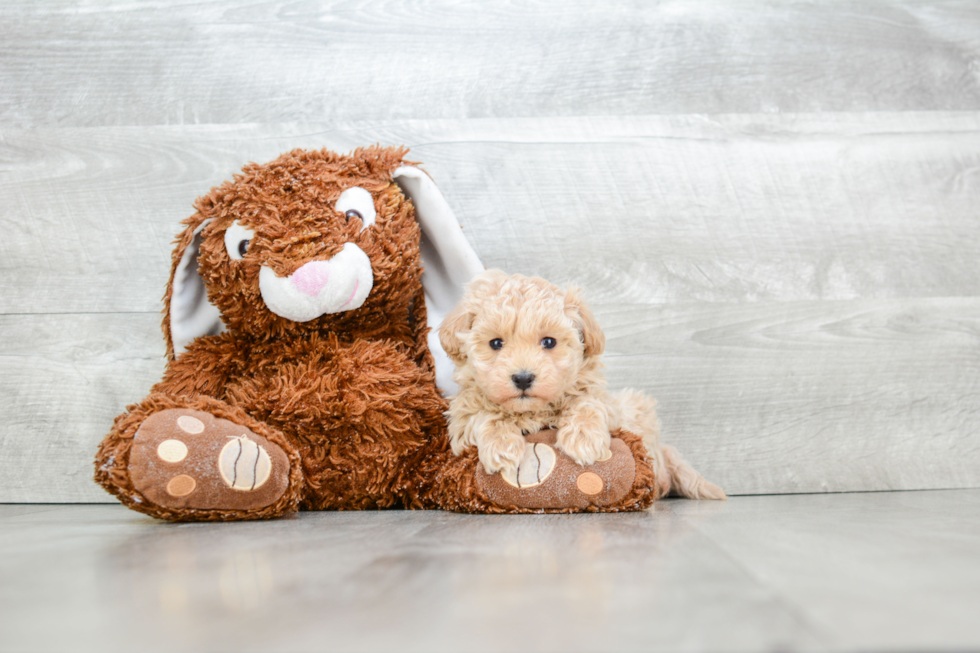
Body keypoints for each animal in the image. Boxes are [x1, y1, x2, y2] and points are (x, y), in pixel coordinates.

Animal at [440, 270, 724, 500]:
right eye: (496, 343)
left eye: (549, 342)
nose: (522, 378)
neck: (533, 411)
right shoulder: (462, 416)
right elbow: (484, 414)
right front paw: (502, 447)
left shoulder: (606, 404)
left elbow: (587, 401)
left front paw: (583, 438)